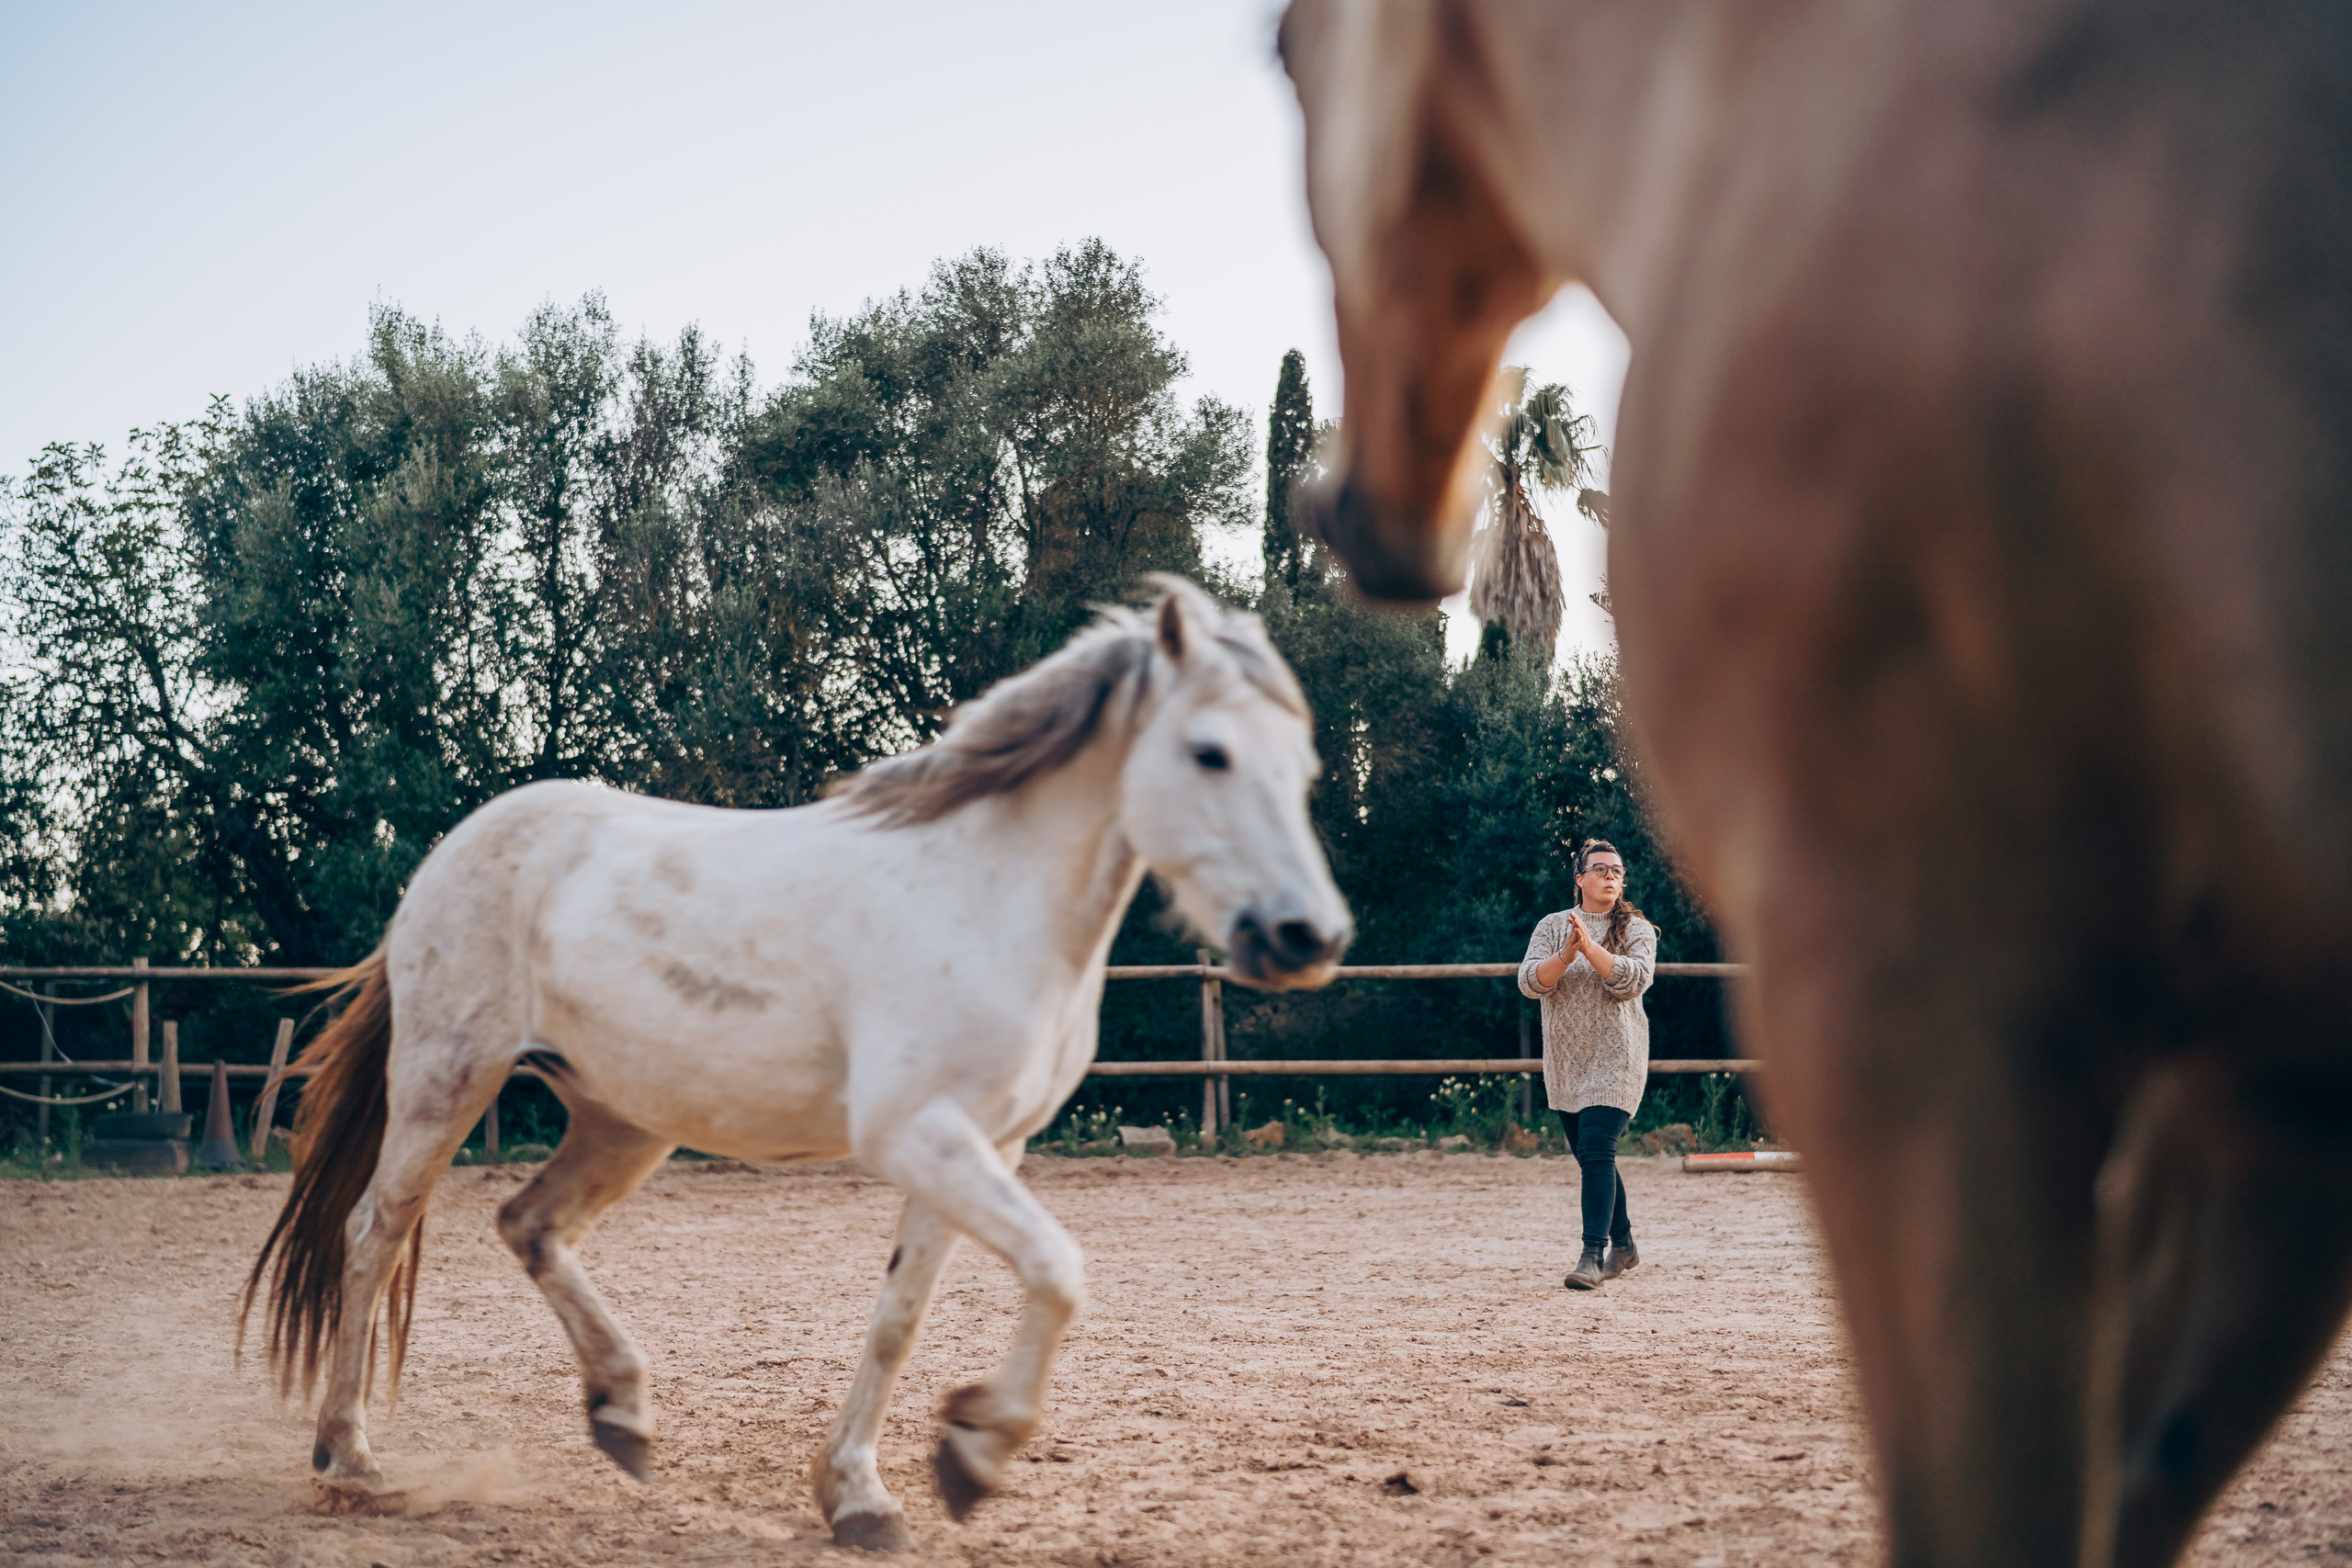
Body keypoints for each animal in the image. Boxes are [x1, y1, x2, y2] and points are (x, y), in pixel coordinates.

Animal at [239, 577, 1350, 1553]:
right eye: (1209, 753)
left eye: (1301, 768)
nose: (1308, 937)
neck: (984, 895)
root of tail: (451, 852)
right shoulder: (918, 1134)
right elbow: (1057, 1270)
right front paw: (974, 1453)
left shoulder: (986, 1146)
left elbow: (901, 1316)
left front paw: (863, 1495)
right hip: (446, 1081)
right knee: (372, 1234)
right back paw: (349, 1460)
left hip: (623, 1119)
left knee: (530, 1224)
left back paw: (622, 1414)